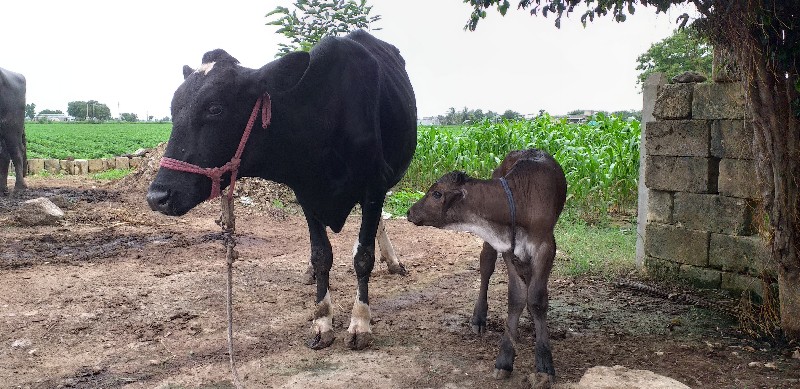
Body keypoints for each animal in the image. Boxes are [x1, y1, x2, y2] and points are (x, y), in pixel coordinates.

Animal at [145, 30, 418, 350]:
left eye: (214, 108)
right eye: (173, 110)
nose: (157, 197)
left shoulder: (374, 184)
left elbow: (363, 257)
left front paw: (360, 323)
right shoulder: (306, 193)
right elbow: (321, 255)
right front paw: (322, 321)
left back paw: (392, 261)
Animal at [406, 148, 568, 384]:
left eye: (436, 193)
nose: (410, 211)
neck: (518, 202)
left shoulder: (546, 246)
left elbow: (537, 299)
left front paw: (544, 363)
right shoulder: (507, 247)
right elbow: (517, 296)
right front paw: (504, 360)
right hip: (493, 250)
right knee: (486, 265)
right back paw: (479, 317)